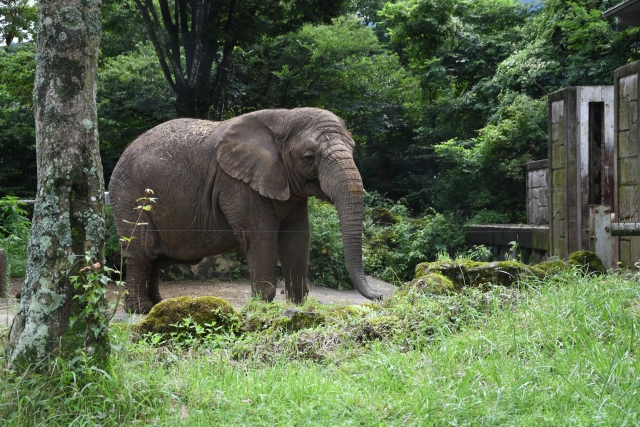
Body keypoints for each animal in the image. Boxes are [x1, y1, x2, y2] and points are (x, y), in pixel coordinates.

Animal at [107, 108, 382, 314]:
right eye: (308, 157)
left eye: (353, 148)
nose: (379, 296)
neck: (285, 117)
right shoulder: (238, 183)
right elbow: (260, 235)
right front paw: (261, 308)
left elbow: (297, 237)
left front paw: (298, 305)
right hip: (130, 196)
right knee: (141, 250)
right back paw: (141, 310)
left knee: (154, 257)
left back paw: (158, 305)